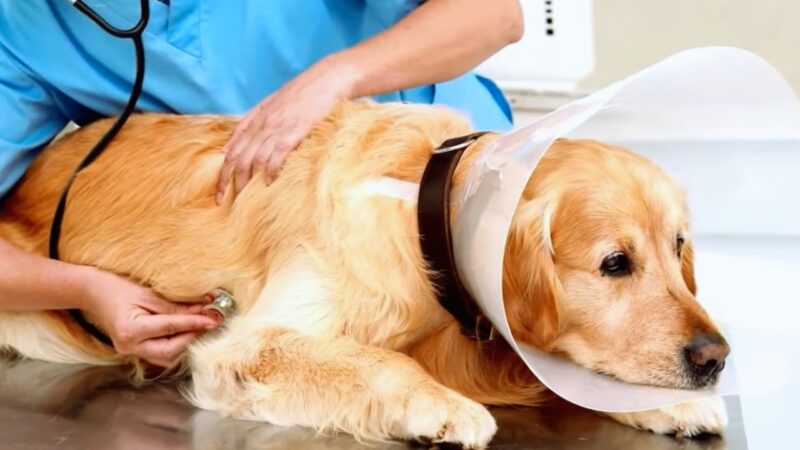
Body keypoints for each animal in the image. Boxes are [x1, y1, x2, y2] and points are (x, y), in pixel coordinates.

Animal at [0, 100, 728, 448]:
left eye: (678, 248)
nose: (714, 358)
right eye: (615, 263)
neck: (426, 216)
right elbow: (377, 361)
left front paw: (667, 401)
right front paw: (440, 405)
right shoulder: (245, 345)